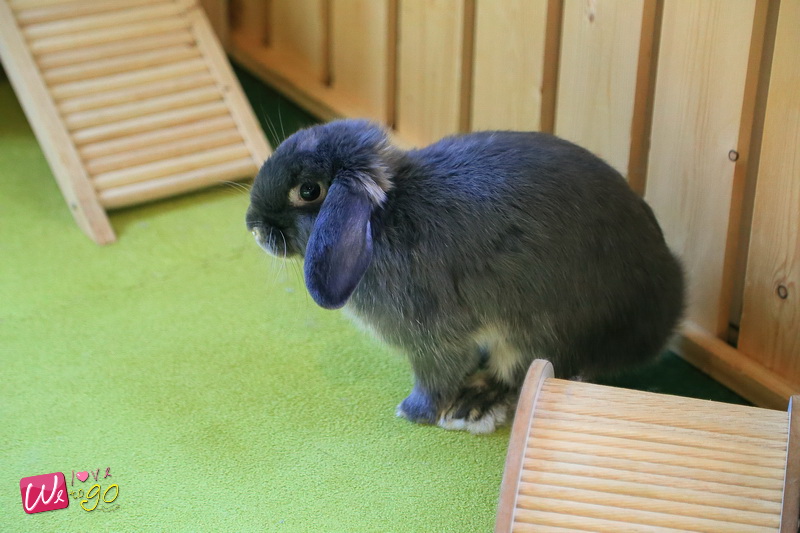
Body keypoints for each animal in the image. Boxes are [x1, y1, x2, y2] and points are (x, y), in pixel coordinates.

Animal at [246, 119, 684, 434]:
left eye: (308, 191)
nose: (253, 227)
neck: (384, 217)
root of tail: (663, 323)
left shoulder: (432, 336)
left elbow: (435, 374)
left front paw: (414, 412)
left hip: (538, 329)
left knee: (520, 372)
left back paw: (474, 403)